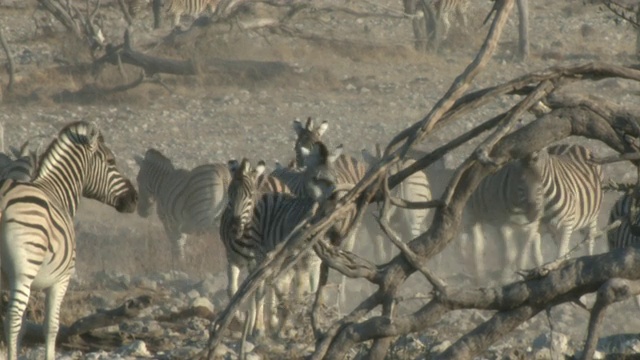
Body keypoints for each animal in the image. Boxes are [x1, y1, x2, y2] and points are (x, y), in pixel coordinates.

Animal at [0, 121, 136, 360]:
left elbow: (25, 329)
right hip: (23, 270)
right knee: (13, 319)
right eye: (111, 161)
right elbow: (51, 326)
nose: (134, 198)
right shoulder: (60, 280)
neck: (56, 192)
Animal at [468, 143, 604, 282]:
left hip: (591, 217)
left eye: (540, 187)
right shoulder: (535, 230)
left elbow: (559, 254)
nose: (532, 214)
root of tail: (573, 144)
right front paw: (537, 273)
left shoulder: (566, 225)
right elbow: (536, 256)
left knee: (589, 242)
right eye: (520, 185)